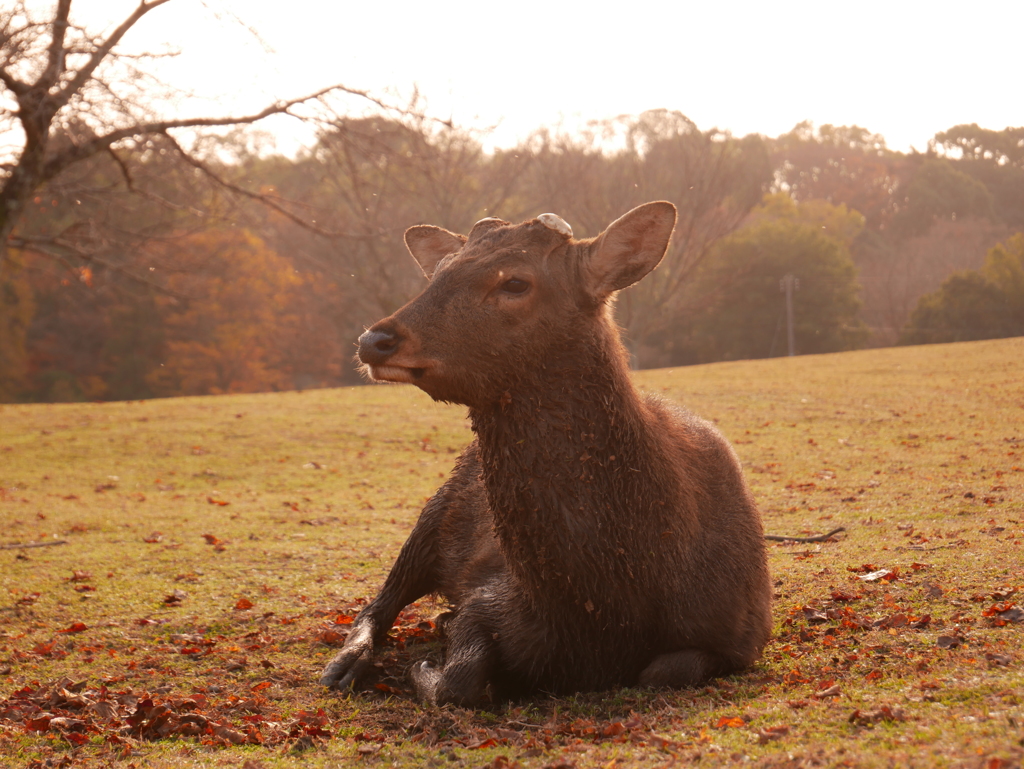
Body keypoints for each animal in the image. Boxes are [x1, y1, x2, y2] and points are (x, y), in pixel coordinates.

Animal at [319, 201, 770, 708]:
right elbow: (461, 679)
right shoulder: (492, 591)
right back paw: (345, 664)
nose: (373, 341)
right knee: (378, 603)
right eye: (439, 270)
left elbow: (664, 670)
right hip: (432, 517)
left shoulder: (742, 633)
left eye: (515, 282)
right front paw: (432, 658)